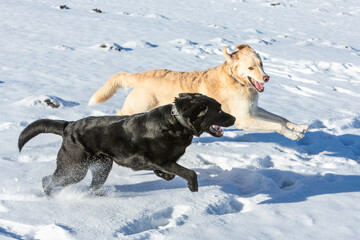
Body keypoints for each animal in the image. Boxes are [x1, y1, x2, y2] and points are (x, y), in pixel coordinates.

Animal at [18, 93, 235, 196]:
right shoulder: (163, 160)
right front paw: (193, 188)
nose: (234, 118)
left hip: (103, 165)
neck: (176, 122)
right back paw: (49, 196)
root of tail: (68, 126)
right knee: (47, 180)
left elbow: (172, 174)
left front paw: (163, 176)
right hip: (74, 168)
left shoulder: (165, 163)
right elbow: (189, 172)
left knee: (93, 186)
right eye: (219, 110)